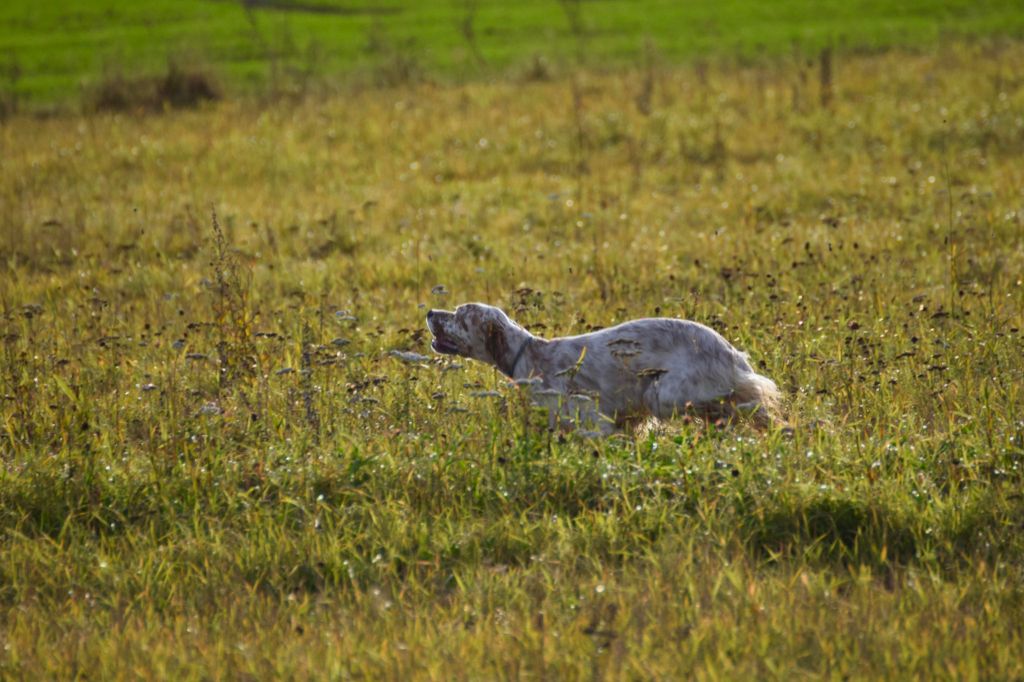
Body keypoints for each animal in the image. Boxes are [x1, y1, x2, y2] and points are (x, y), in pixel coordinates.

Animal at [428, 301, 778, 432]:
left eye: (459, 315)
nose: (430, 311)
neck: (527, 353)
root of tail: (731, 352)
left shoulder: (592, 420)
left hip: (662, 394)